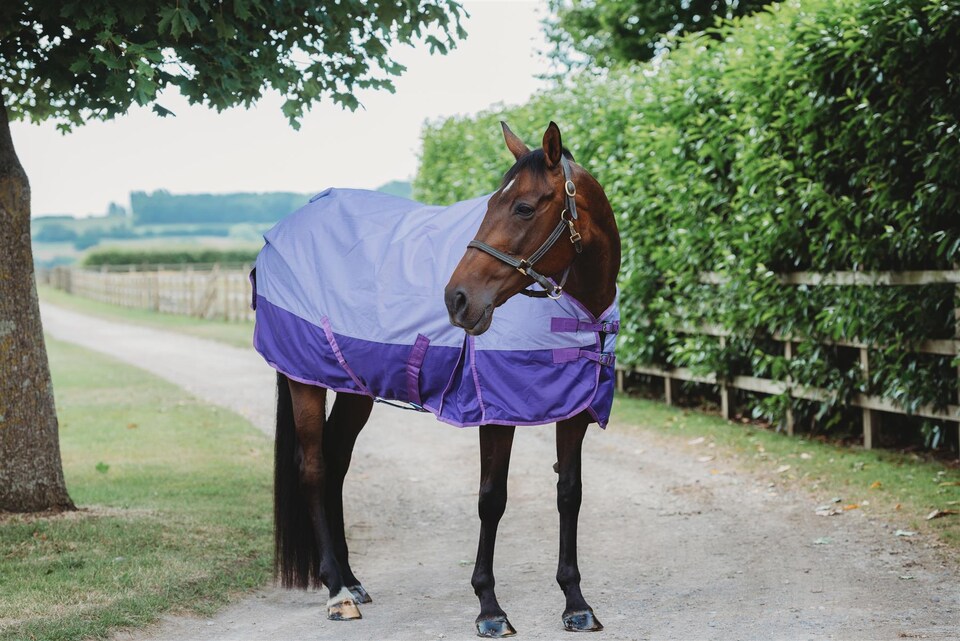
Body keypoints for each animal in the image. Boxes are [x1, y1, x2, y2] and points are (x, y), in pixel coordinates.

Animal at [254, 121, 621, 637]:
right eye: (489, 205)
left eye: (524, 207)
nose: (457, 299)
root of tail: (282, 231)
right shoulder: (495, 413)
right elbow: (492, 500)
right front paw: (490, 609)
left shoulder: (574, 409)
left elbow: (569, 494)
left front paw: (576, 603)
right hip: (304, 379)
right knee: (314, 467)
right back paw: (337, 592)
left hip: (354, 389)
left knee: (337, 464)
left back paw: (352, 580)